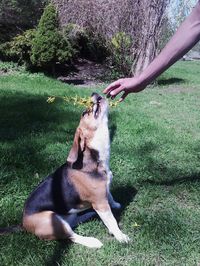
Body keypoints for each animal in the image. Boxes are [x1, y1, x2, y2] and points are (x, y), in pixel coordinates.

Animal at [2, 92, 130, 248]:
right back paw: (92, 241)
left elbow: (110, 198)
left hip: (70, 215)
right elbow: (111, 221)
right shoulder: (100, 203)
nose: (93, 93)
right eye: (84, 113)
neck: (97, 160)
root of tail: (23, 224)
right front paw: (120, 236)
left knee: (75, 222)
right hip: (52, 219)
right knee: (71, 236)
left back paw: (90, 214)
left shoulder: (104, 194)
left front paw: (116, 205)